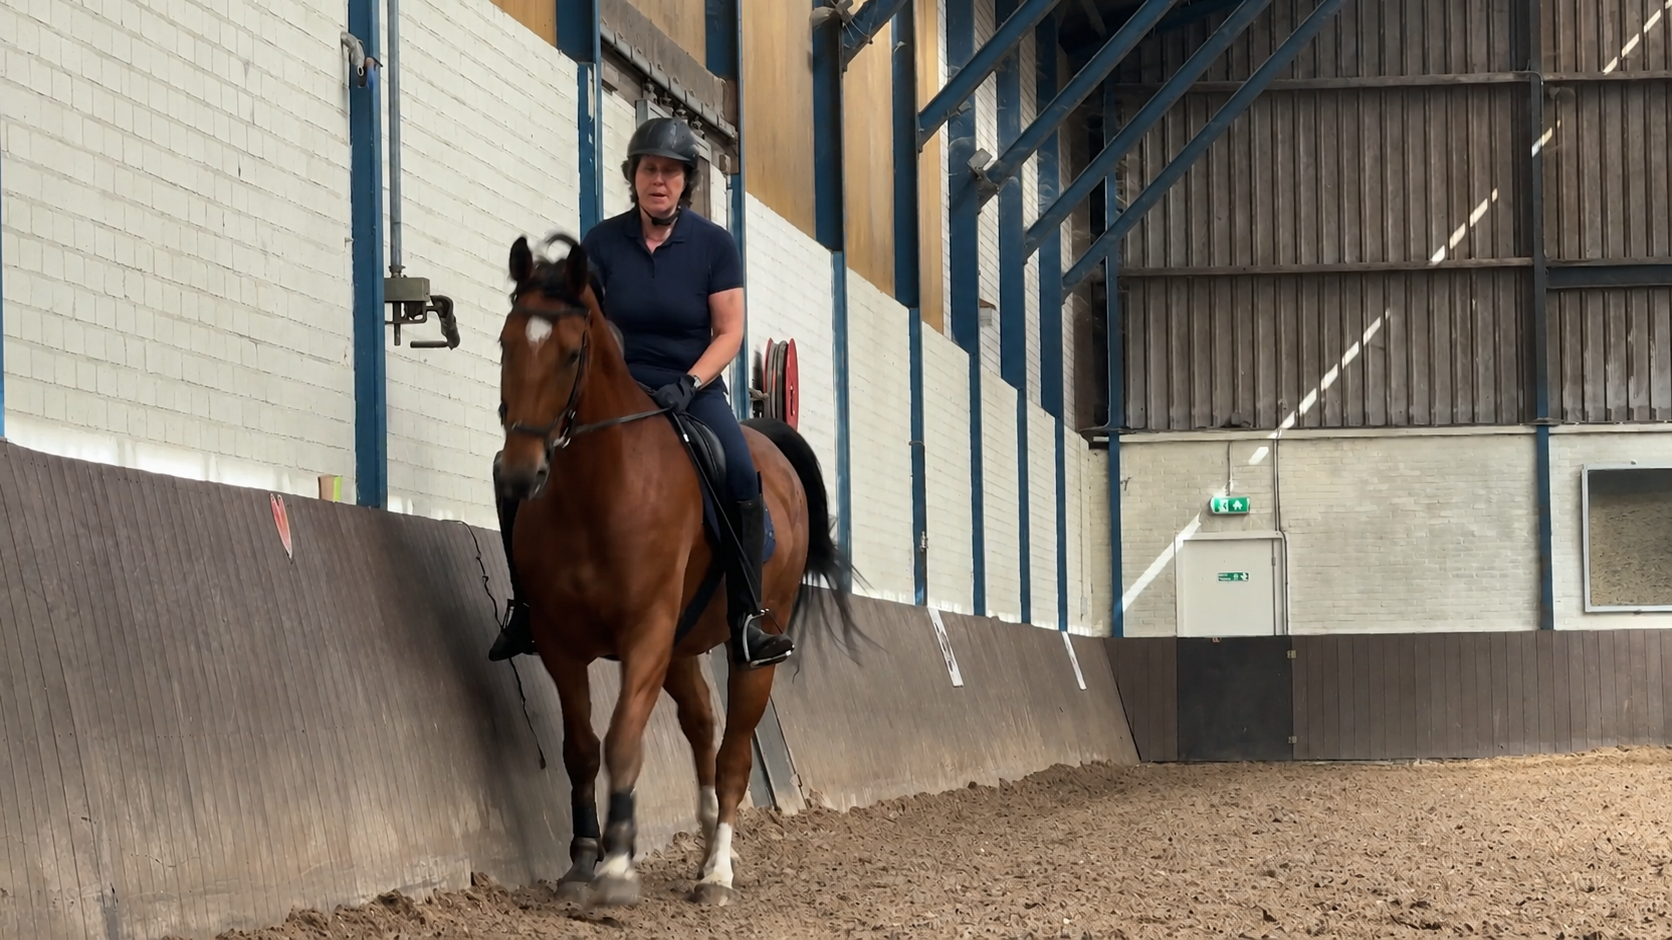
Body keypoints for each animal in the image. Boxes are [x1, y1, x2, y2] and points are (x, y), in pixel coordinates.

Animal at [492, 231, 864, 907]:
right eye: (507, 343)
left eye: (571, 352)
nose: (517, 474)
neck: (595, 490)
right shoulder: (561, 642)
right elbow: (582, 748)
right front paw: (583, 860)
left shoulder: (646, 631)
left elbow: (623, 738)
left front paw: (616, 867)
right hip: (683, 645)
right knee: (701, 723)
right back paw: (707, 835)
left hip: (748, 648)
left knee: (734, 752)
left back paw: (716, 871)